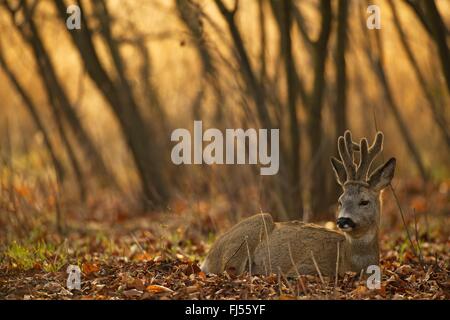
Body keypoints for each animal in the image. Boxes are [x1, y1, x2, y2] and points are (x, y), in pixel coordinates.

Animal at [202, 131, 396, 278]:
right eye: (340, 201)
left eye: (364, 201)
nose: (342, 220)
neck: (347, 260)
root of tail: (208, 257)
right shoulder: (307, 266)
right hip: (254, 227)